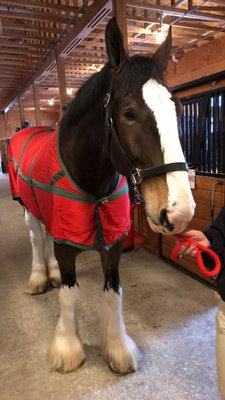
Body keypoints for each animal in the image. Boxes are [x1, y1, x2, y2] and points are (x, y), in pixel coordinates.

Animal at [7, 18, 195, 376]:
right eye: (129, 113)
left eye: (176, 108)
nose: (179, 212)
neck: (92, 187)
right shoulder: (67, 243)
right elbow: (70, 295)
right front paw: (68, 349)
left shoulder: (113, 244)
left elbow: (113, 294)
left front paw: (117, 348)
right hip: (29, 208)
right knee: (37, 237)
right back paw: (40, 276)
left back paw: (50, 272)